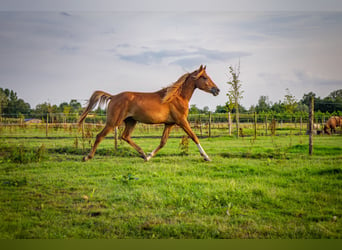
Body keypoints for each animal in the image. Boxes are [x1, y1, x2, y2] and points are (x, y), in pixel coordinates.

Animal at [79, 65, 220, 161]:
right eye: (204, 77)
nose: (217, 90)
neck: (176, 97)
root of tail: (113, 97)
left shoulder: (169, 124)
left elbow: (163, 142)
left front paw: (150, 155)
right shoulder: (182, 121)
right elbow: (194, 136)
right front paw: (207, 157)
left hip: (131, 121)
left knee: (125, 136)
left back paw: (143, 155)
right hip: (113, 122)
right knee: (100, 136)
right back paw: (87, 157)